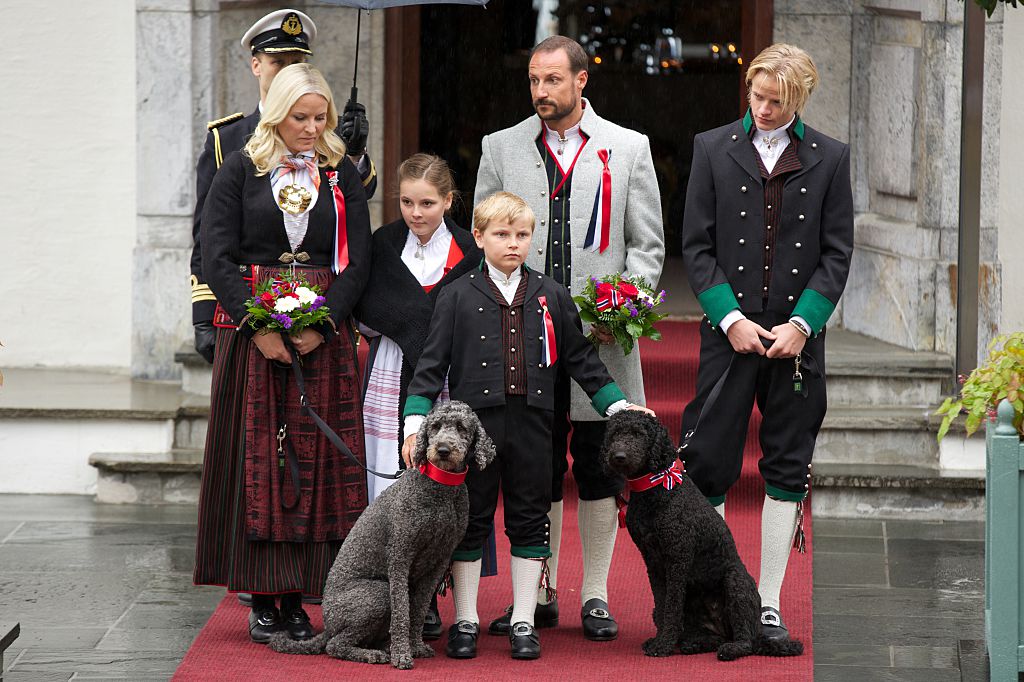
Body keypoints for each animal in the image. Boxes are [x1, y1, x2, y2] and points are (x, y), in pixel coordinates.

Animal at [268, 401, 495, 667]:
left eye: (461, 427)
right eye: (435, 426)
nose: (443, 450)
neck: (440, 489)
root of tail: (328, 624)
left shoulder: (439, 562)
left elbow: (418, 610)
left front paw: (415, 646)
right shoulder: (399, 556)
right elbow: (401, 612)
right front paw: (402, 654)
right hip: (376, 593)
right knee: (335, 645)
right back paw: (372, 654)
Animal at [602, 409, 802, 659]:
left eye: (638, 434)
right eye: (614, 433)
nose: (618, 456)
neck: (655, 490)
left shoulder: (678, 558)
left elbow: (671, 608)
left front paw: (663, 645)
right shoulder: (652, 562)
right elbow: (663, 604)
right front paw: (661, 641)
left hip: (736, 582)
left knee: (746, 642)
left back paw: (730, 648)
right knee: (708, 636)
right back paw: (694, 643)